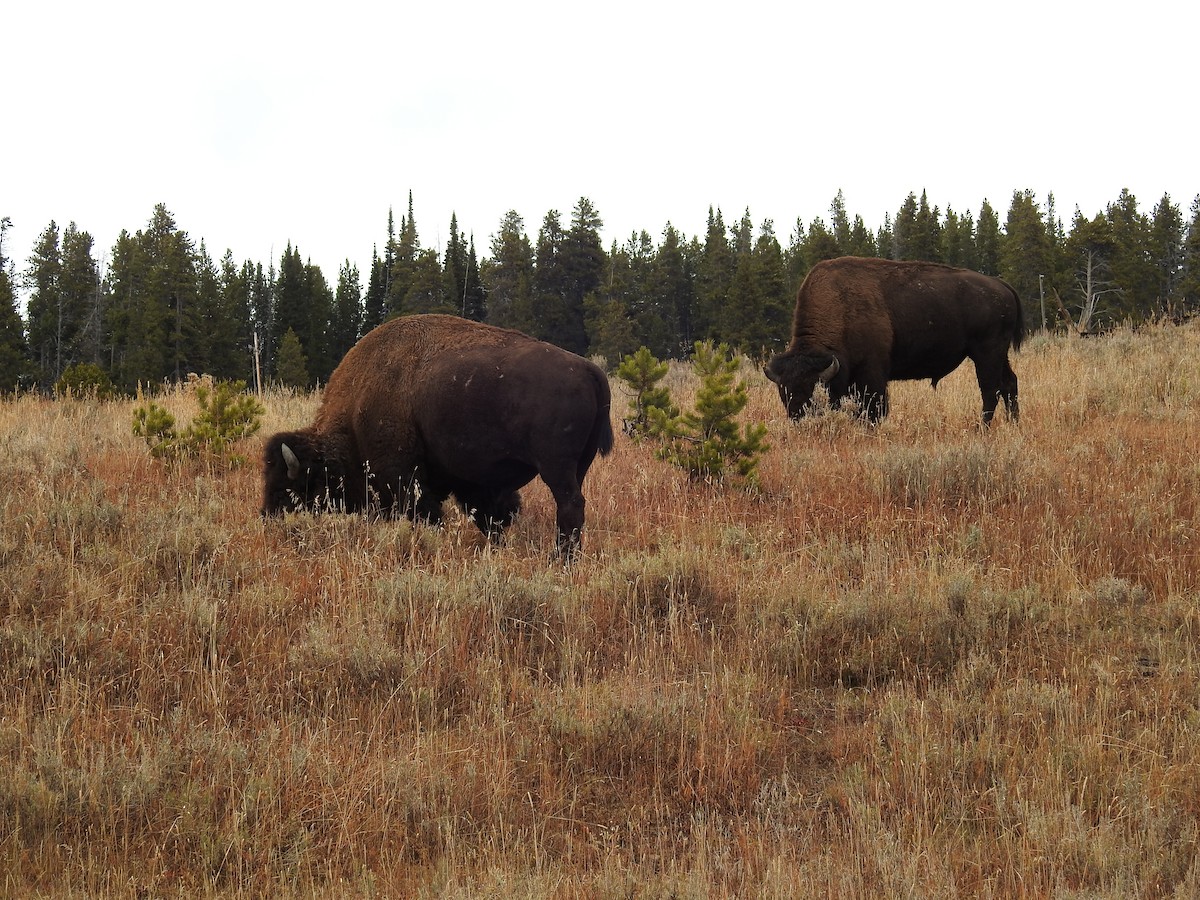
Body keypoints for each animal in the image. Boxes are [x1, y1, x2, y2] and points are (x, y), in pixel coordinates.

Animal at [261, 314, 614, 557]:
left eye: (288, 487)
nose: (267, 518)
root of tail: (589, 369)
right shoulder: (471, 483)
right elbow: (490, 515)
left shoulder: (404, 477)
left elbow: (428, 513)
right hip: (579, 466)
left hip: (556, 467)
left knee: (570, 505)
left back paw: (561, 558)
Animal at [764, 257, 1024, 424]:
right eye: (784, 393)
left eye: (812, 391)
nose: (799, 420)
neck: (840, 306)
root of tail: (1001, 284)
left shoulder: (872, 375)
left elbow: (874, 409)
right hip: (998, 354)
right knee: (1009, 384)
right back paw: (1013, 424)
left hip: (986, 353)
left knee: (990, 390)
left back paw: (982, 429)